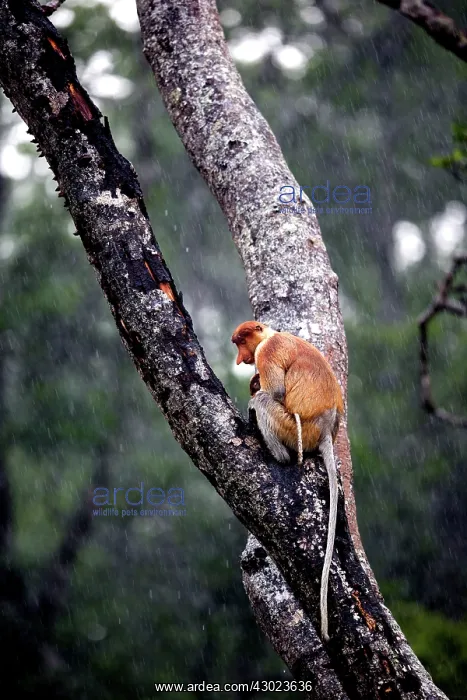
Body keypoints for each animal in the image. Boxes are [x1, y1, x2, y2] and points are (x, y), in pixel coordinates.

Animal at [232, 321, 344, 641]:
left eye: (242, 341)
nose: (239, 359)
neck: (271, 335)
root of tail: (324, 428)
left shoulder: (266, 353)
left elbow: (276, 391)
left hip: (294, 429)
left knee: (265, 401)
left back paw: (277, 453)